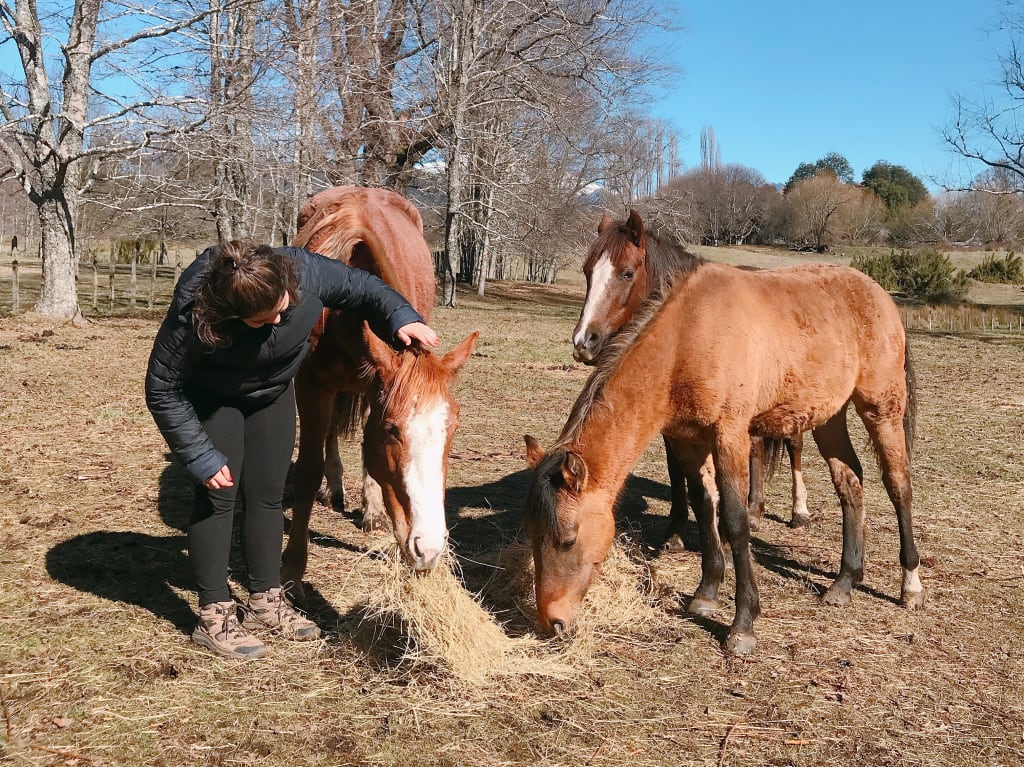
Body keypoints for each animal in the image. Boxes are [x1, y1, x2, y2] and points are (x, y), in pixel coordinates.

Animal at [524, 259, 925, 651]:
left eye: (568, 539)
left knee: (898, 484)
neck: (686, 341)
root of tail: (877, 292)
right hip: (829, 417)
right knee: (850, 482)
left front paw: (743, 625)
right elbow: (704, 507)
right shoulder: (688, 442)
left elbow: (734, 520)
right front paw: (706, 594)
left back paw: (910, 585)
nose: (552, 622)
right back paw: (845, 581)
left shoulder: (730, 437)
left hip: (881, 408)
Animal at [577, 209, 806, 548]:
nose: (584, 342)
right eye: (587, 272)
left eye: (627, 273)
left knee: (794, 445)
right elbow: (677, 470)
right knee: (757, 448)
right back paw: (755, 507)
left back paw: (798, 511)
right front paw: (675, 532)